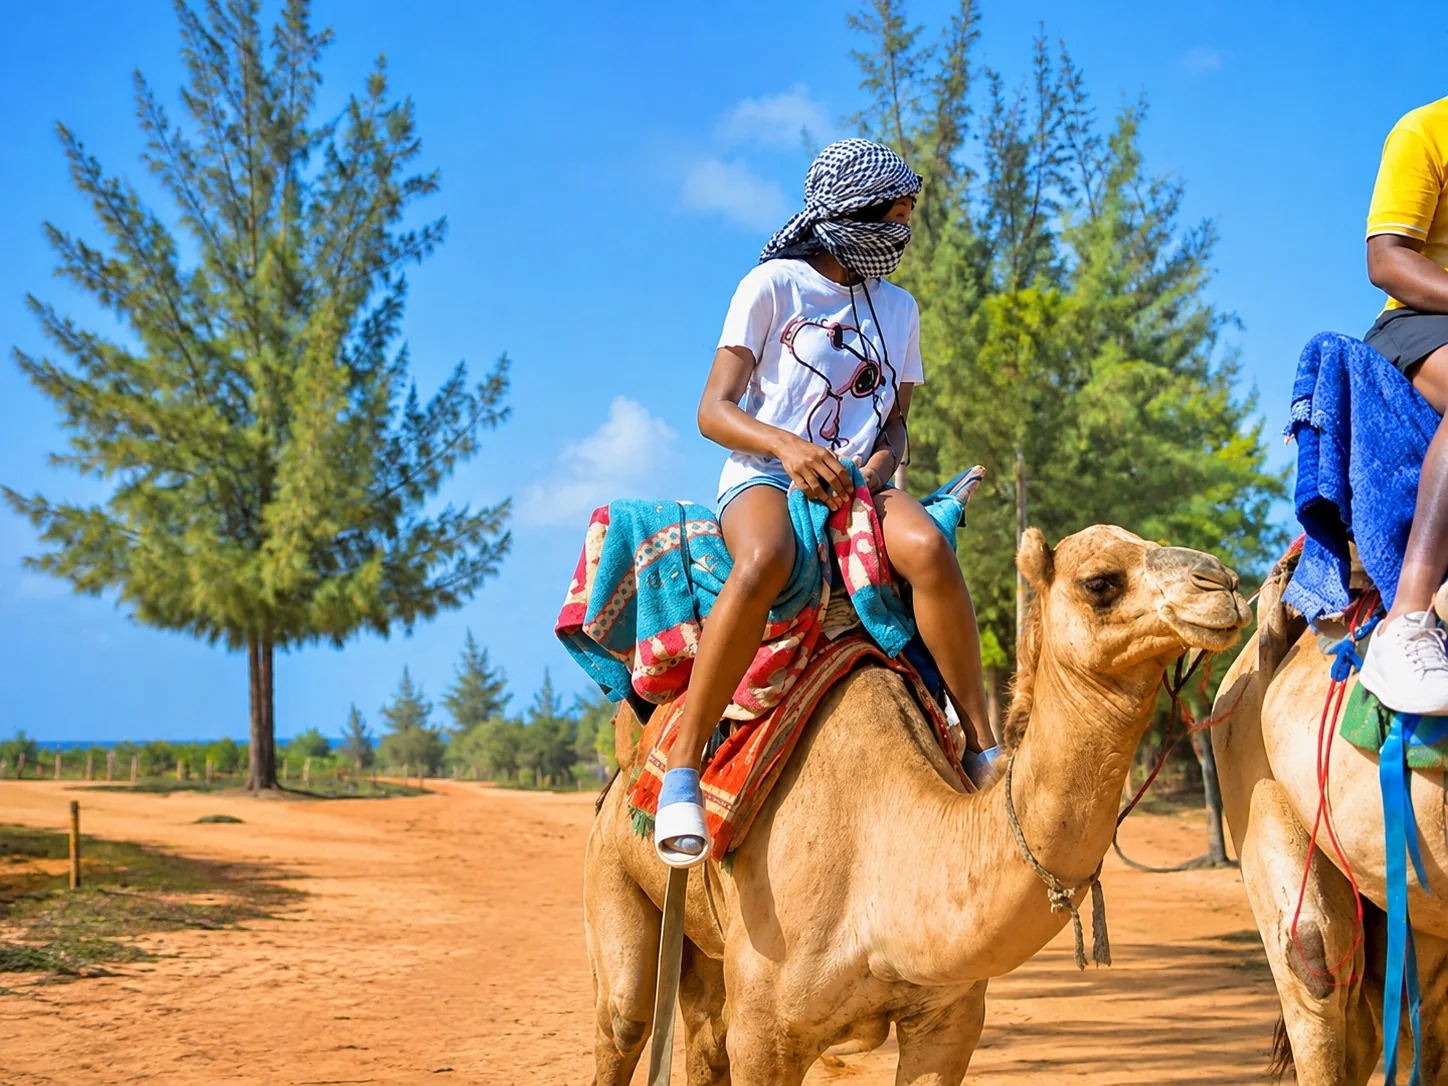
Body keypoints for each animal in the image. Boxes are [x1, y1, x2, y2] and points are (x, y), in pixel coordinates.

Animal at [584, 524, 1251, 1085]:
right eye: (1101, 581)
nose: (1224, 582)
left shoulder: (949, 1020)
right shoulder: (765, 1032)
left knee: (701, 1036)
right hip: (614, 876)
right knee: (626, 1019)